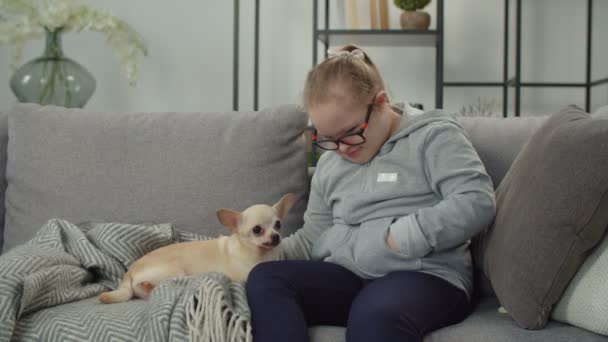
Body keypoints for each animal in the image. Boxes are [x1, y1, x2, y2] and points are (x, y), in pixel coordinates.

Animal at [97, 194, 294, 304]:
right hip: (174, 272)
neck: (261, 254)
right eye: (257, 230)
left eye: (278, 225)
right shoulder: (243, 276)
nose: (276, 237)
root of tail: (129, 272)